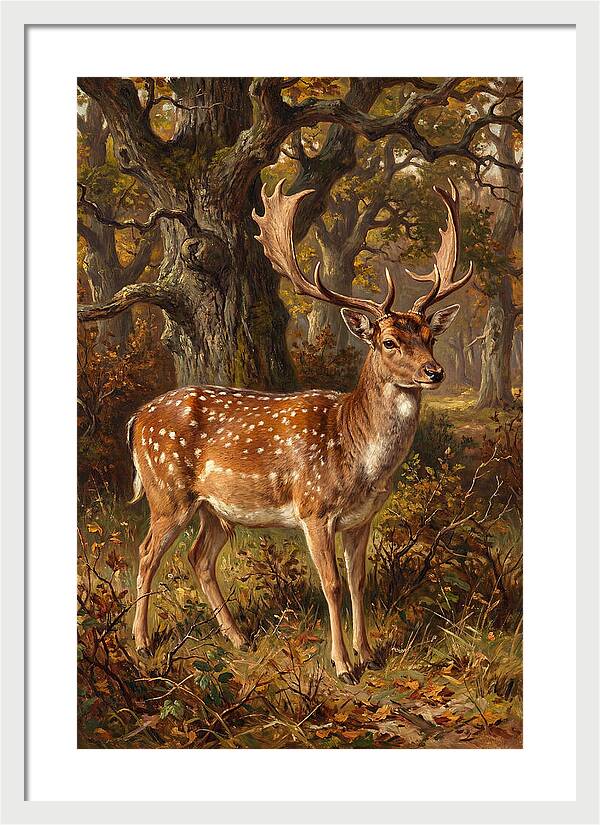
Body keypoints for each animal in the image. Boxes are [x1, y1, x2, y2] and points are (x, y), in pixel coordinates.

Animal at [127, 178, 473, 683]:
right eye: (389, 342)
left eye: (430, 336)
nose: (435, 372)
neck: (357, 454)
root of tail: (136, 419)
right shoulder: (314, 510)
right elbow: (331, 584)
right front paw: (343, 665)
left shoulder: (362, 518)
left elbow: (358, 581)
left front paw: (369, 654)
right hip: (167, 491)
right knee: (147, 552)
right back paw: (141, 642)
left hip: (216, 509)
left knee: (199, 558)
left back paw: (238, 637)